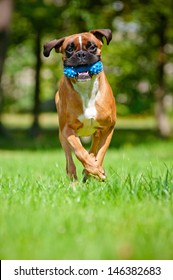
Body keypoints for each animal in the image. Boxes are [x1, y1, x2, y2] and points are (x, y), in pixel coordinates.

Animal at [43, 29, 116, 182]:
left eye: (92, 46)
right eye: (69, 49)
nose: (81, 54)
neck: (86, 89)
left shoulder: (108, 128)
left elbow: (100, 153)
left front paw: (96, 170)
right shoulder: (68, 130)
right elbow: (80, 152)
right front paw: (94, 169)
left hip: (98, 132)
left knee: (94, 148)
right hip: (62, 136)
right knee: (70, 160)